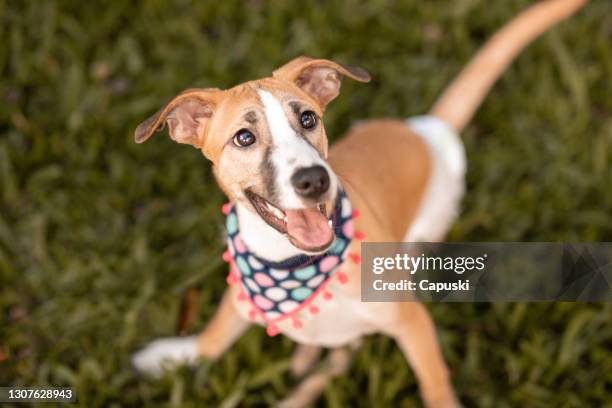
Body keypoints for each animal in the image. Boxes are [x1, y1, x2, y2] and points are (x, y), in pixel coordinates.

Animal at [130, 1, 588, 406]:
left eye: (308, 118)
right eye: (244, 137)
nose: (314, 180)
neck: (294, 265)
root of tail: (425, 130)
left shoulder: (411, 321)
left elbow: (435, 383)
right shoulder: (240, 294)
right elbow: (212, 338)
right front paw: (167, 356)